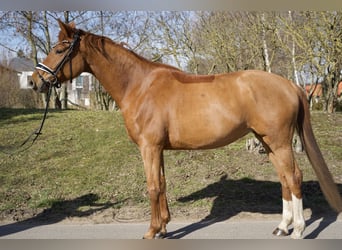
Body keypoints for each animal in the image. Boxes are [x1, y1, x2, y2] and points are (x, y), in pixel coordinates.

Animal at [30, 20, 342, 239]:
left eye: (59, 49)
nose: (35, 81)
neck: (139, 86)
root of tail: (290, 84)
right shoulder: (158, 149)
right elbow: (163, 184)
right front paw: (164, 227)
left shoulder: (149, 148)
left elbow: (153, 187)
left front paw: (151, 231)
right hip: (268, 142)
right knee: (284, 179)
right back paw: (282, 226)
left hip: (279, 142)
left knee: (294, 177)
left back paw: (299, 229)